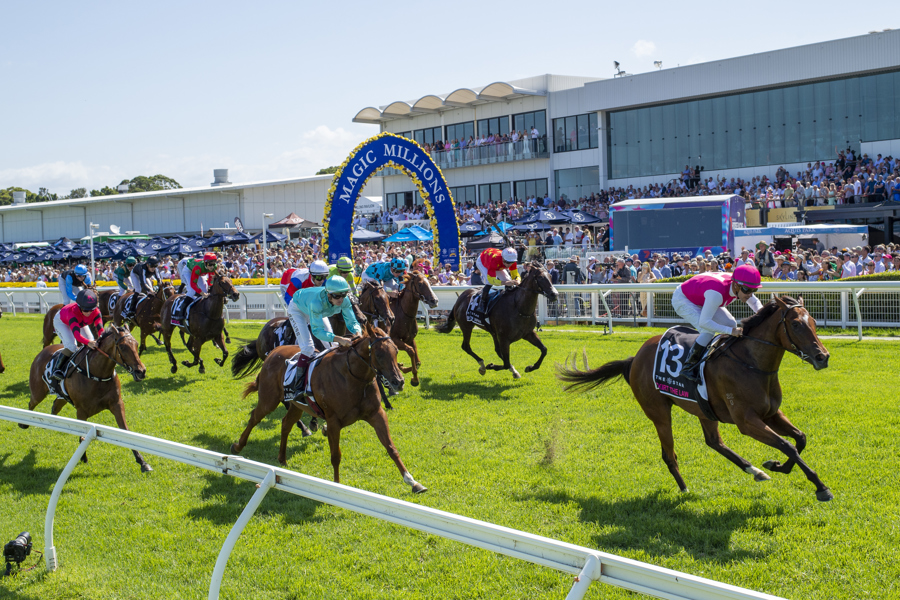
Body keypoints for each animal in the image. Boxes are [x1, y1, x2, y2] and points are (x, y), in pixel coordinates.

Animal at [20, 326, 152, 472]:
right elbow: (83, 434)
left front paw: (142, 462)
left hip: (62, 396)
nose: (141, 371)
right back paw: (24, 423)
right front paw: (83, 457)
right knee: (32, 403)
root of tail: (42, 351)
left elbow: (126, 431)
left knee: (55, 406)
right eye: (123, 347)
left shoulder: (117, 404)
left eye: (136, 344)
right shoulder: (81, 411)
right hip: (38, 392)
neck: (98, 373)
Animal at [229, 322, 426, 493]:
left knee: (285, 423)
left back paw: (282, 459)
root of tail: (273, 352)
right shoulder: (333, 422)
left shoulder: (376, 414)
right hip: (268, 399)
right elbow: (335, 455)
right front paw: (336, 486)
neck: (353, 377)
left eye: (395, 351)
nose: (399, 382)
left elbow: (391, 447)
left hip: (296, 405)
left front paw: (412, 481)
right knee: (255, 417)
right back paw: (237, 447)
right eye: (378, 354)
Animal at [556, 295, 835, 502]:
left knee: (714, 442)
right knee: (669, 454)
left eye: (814, 322)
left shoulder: (771, 413)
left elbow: (799, 439)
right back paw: (684, 488)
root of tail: (634, 358)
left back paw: (754, 471)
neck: (752, 363)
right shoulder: (746, 421)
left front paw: (776, 466)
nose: (823, 357)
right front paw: (821, 487)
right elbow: (787, 445)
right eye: (796, 324)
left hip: (705, 410)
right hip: (659, 412)